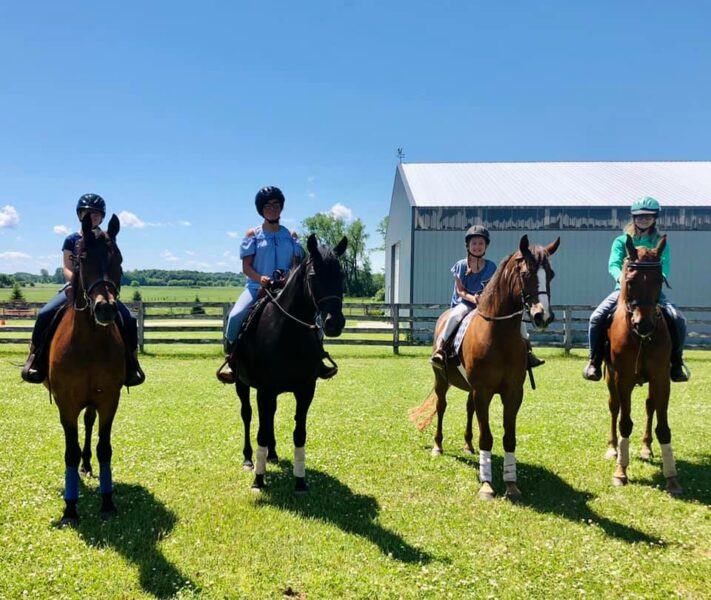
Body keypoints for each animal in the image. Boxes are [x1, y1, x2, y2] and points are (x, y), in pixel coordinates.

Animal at [47, 213, 126, 524]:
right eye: (82, 258)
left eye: (118, 259)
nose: (106, 309)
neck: (89, 342)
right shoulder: (65, 403)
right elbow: (69, 451)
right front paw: (70, 509)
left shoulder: (108, 400)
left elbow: (105, 449)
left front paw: (107, 501)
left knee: (89, 423)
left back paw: (87, 465)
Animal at [234, 234, 348, 492]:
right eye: (314, 275)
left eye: (341, 275)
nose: (334, 323)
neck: (287, 332)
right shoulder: (265, 390)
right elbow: (261, 432)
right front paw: (258, 479)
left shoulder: (305, 390)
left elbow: (299, 434)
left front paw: (300, 481)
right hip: (241, 384)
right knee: (247, 415)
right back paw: (248, 459)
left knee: (270, 419)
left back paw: (273, 454)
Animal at [412, 234, 560, 502]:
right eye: (526, 273)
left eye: (551, 274)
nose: (543, 316)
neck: (499, 335)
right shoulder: (484, 392)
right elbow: (487, 437)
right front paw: (487, 485)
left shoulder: (513, 393)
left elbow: (509, 438)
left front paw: (511, 484)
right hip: (442, 381)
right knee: (441, 407)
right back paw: (438, 446)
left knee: (468, 409)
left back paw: (468, 446)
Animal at [604, 232, 680, 494]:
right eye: (630, 280)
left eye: (659, 280)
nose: (643, 324)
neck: (642, 339)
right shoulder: (623, 379)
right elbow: (625, 422)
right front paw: (620, 472)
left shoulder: (661, 378)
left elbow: (663, 426)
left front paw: (671, 477)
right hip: (610, 378)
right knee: (614, 407)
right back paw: (612, 449)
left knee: (650, 406)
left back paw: (647, 449)